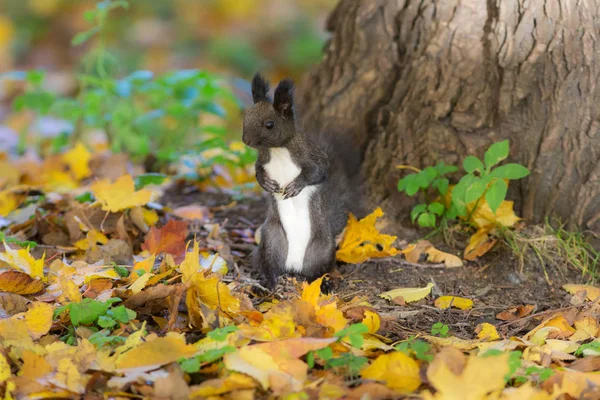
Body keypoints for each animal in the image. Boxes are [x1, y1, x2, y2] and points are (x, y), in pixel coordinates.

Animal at [241, 73, 364, 290]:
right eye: (246, 116)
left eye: (269, 124)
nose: (245, 140)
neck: (278, 149)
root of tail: (295, 267)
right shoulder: (262, 160)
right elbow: (257, 171)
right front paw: (266, 184)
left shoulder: (312, 156)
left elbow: (318, 172)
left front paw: (295, 186)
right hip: (271, 240)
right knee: (270, 266)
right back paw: (269, 284)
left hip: (322, 249)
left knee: (316, 273)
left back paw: (321, 285)